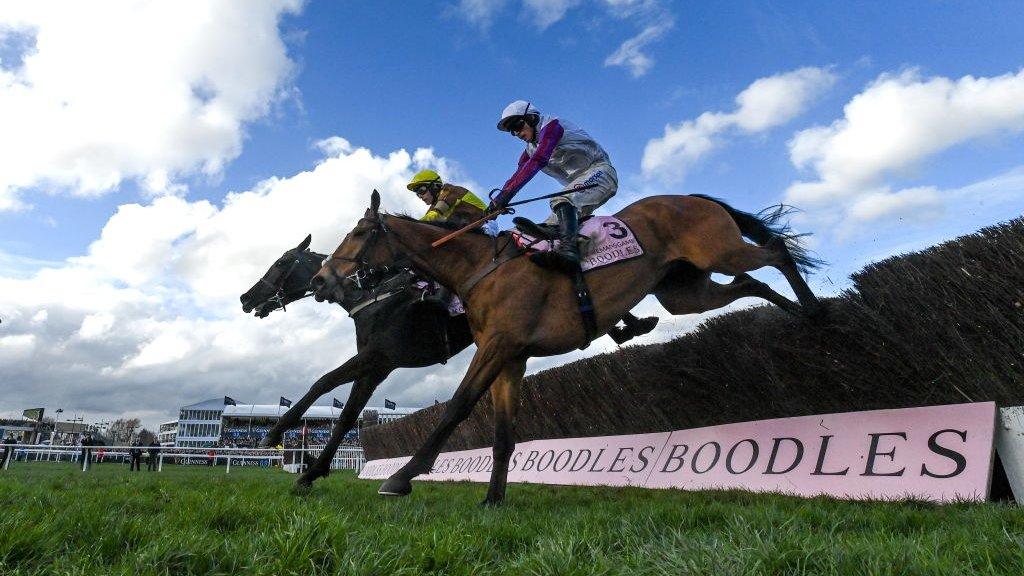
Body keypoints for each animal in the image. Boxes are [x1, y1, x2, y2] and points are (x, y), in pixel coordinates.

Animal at [237, 233, 473, 483]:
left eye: (281, 263)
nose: (245, 298)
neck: (374, 296)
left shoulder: (377, 354)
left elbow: (323, 382)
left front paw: (274, 432)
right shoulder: (377, 366)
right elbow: (347, 416)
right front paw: (314, 471)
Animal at [313, 189, 823, 502]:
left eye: (359, 232)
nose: (321, 279)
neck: (477, 268)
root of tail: (693, 197)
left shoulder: (496, 346)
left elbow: (457, 406)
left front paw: (401, 477)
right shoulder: (512, 358)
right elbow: (503, 433)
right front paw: (493, 499)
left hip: (718, 252)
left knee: (775, 251)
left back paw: (815, 307)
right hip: (685, 292)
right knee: (749, 282)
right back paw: (796, 312)